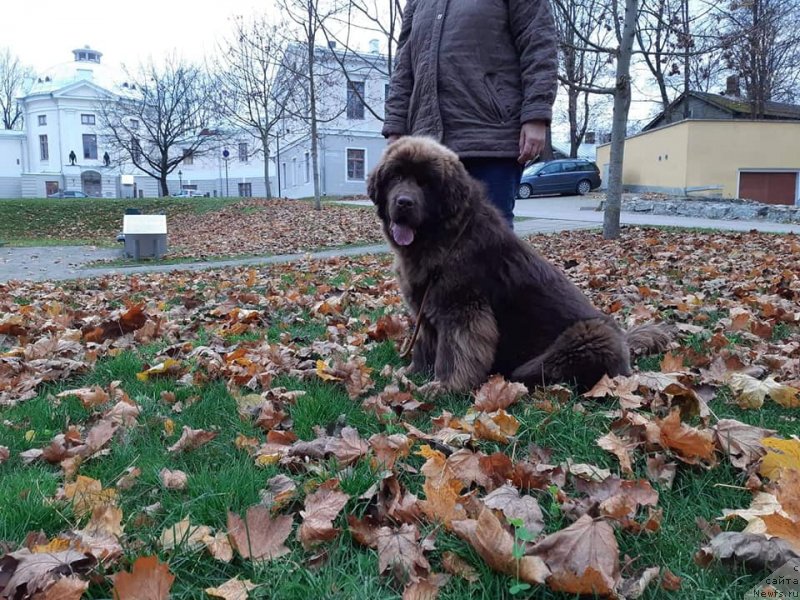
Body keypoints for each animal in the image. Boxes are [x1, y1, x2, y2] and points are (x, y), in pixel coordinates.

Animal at [368, 138, 668, 396]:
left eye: (426, 183)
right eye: (396, 177)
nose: (403, 202)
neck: (446, 237)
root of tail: (624, 343)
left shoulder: (463, 310)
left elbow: (454, 353)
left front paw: (445, 387)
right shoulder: (425, 308)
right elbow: (423, 345)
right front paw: (412, 373)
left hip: (590, 334)